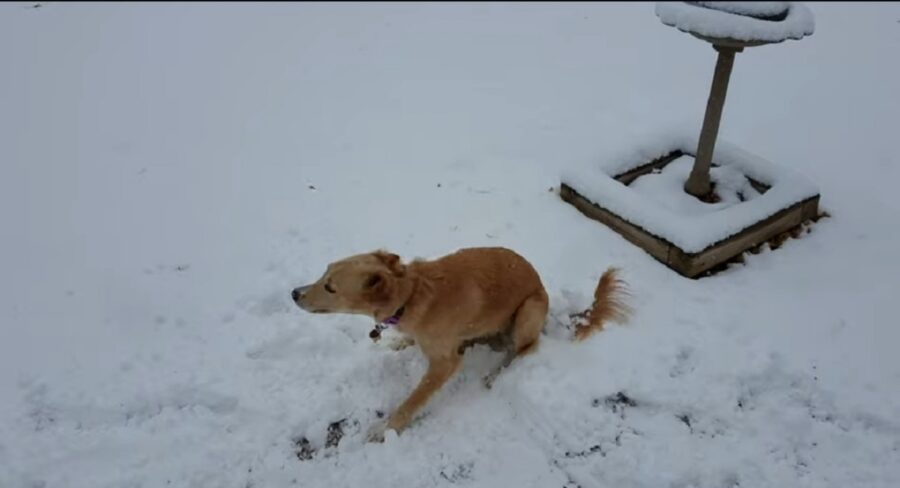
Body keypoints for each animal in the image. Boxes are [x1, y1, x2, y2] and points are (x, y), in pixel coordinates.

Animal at [292, 248, 628, 442]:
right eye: (324, 273)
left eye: (330, 287)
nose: (294, 293)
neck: (411, 295)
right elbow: (408, 340)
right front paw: (398, 343)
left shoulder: (445, 364)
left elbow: (413, 399)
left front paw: (387, 428)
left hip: (527, 313)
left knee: (527, 349)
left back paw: (496, 374)